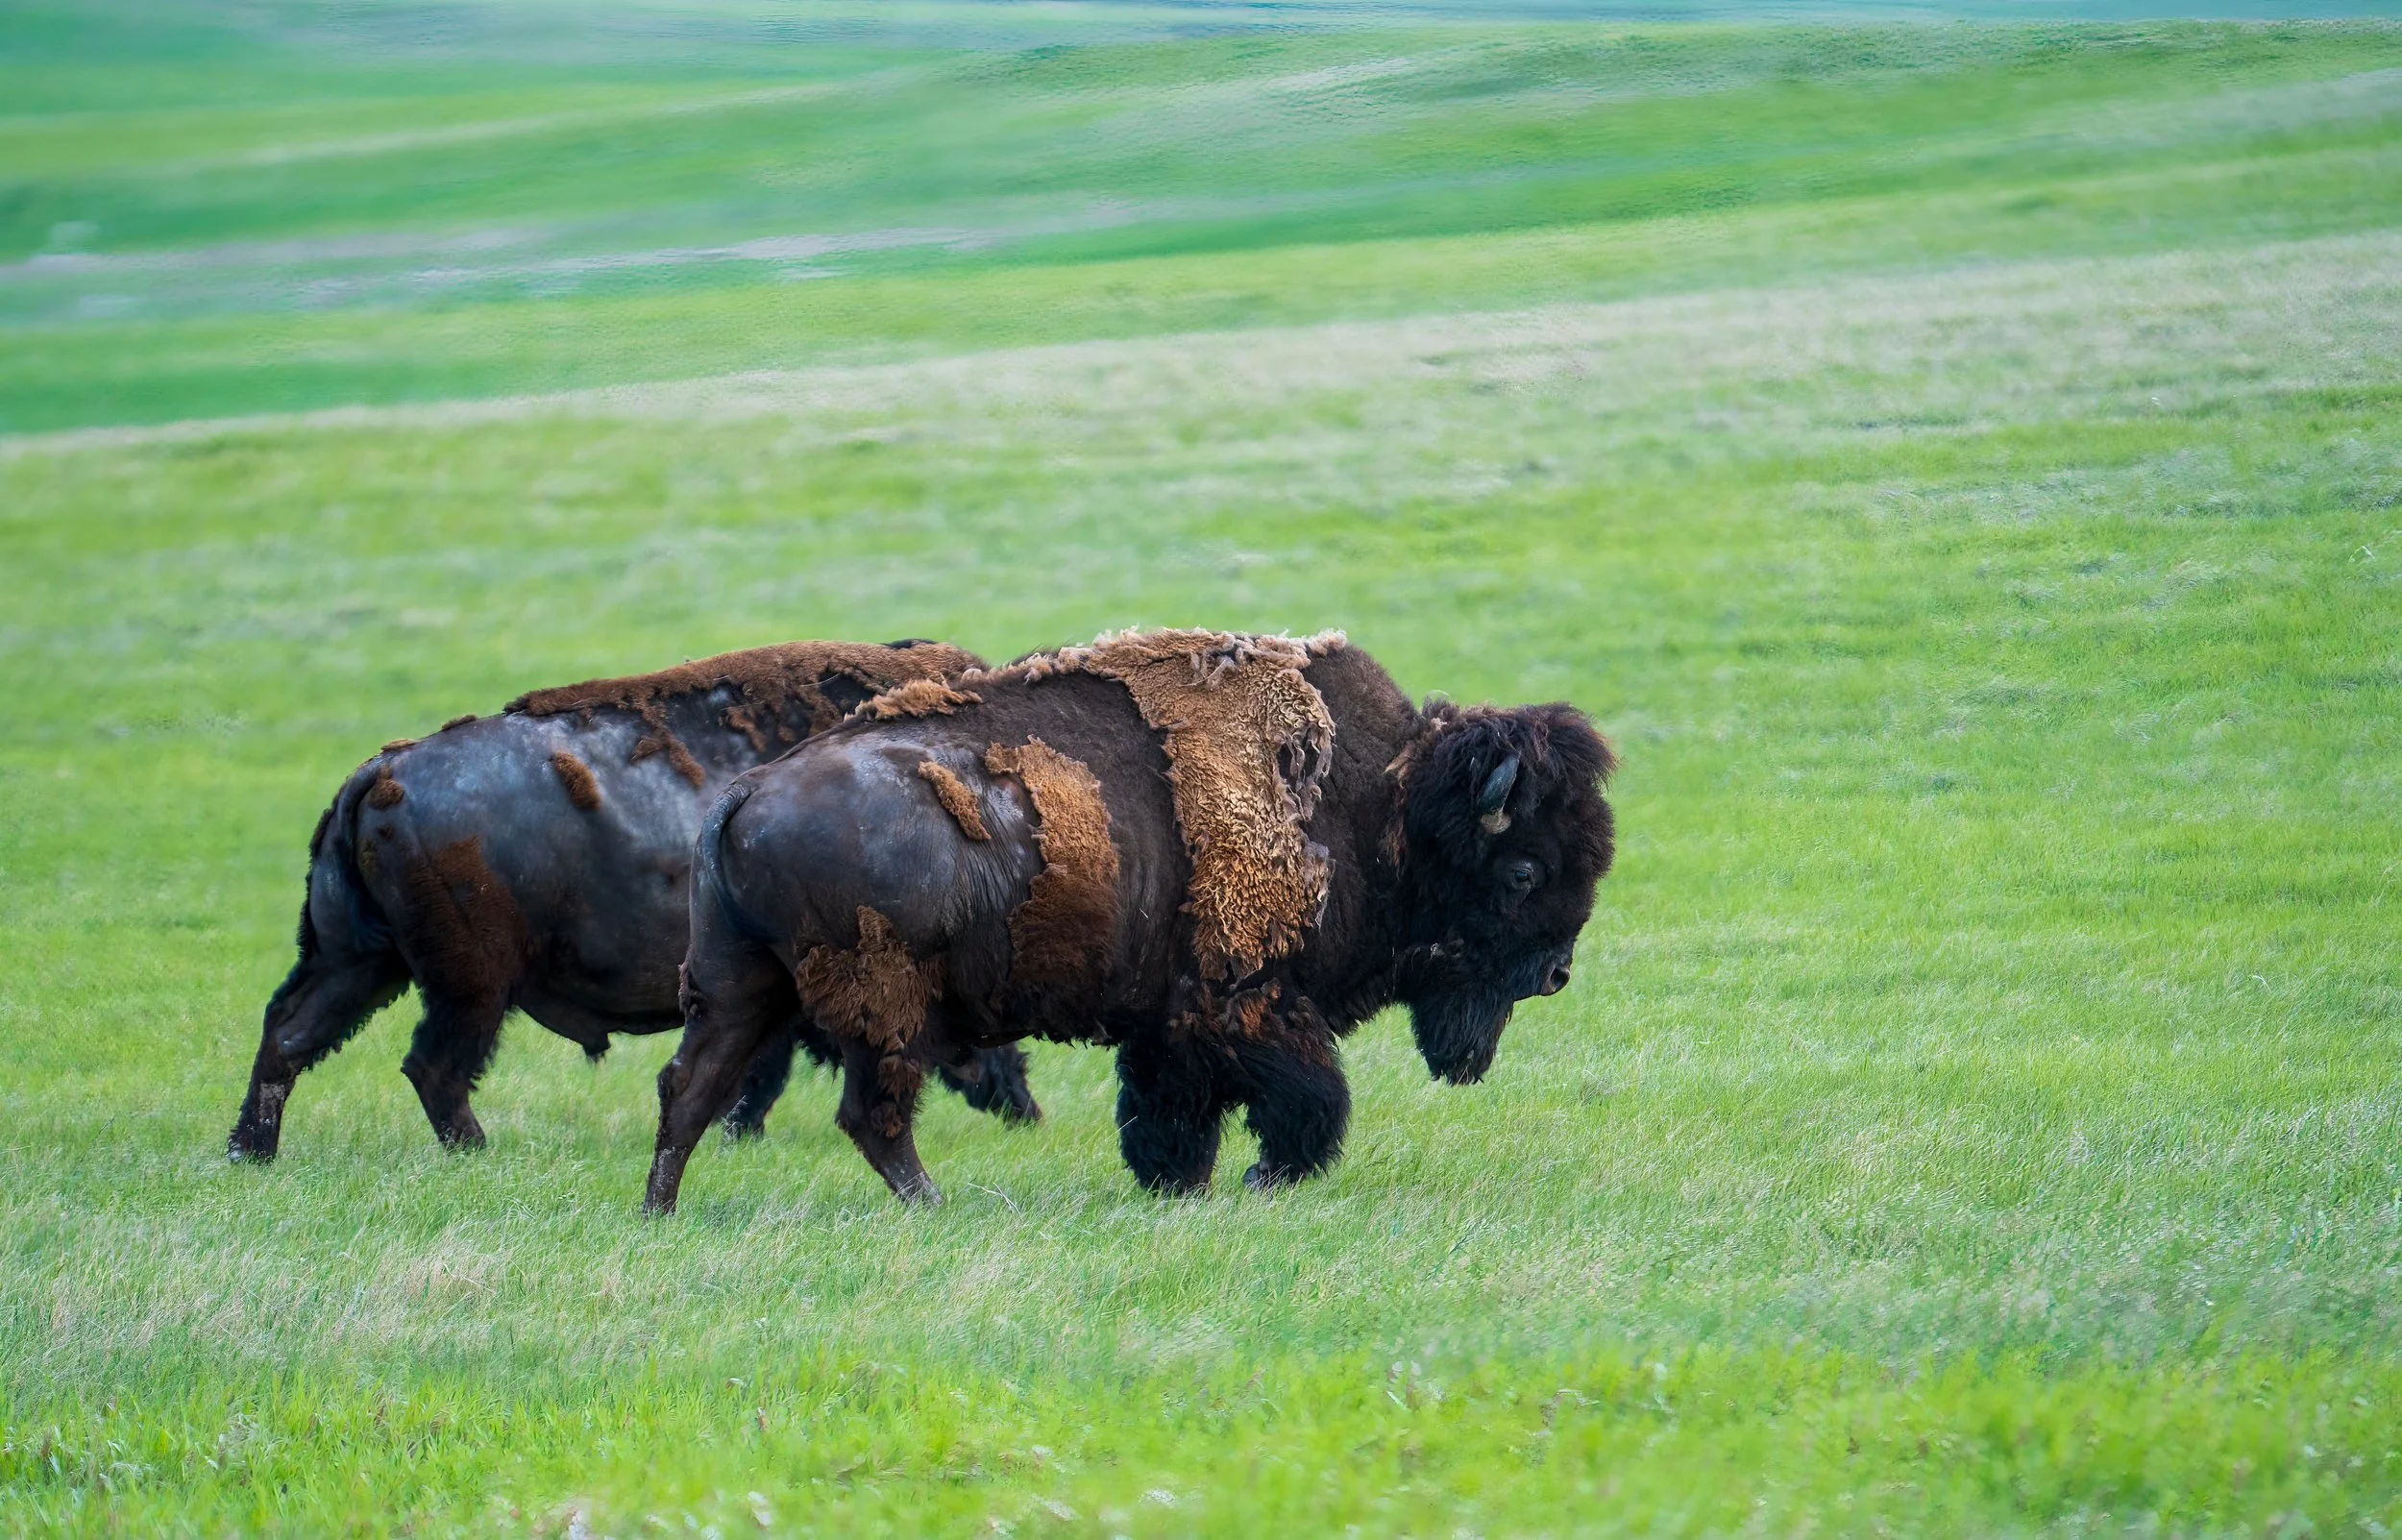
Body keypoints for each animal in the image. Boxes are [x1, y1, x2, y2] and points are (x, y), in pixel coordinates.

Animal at [230, 639, 1041, 1162]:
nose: (1025, 1107)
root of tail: (383, 770)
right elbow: (761, 1074)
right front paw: (739, 1135)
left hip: (359, 960)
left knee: (291, 1033)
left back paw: (251, 1151)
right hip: (470, 986)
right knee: (433, 1066)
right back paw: (479, 1153)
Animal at [644, 629, 1613, 1211]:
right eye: (1524, 869)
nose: (1557, 972)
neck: (1380, 806)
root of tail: (744, 792)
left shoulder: (1169, 1021)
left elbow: (1168, 1107)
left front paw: (1176, 1182)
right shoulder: (1247, 998)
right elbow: (1310, 1097)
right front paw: (1261, 1176)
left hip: (741, 986)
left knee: (691, 1087)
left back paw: (662, 1209)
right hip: (883, 1004)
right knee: (870, 1110)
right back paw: (932, 1204)